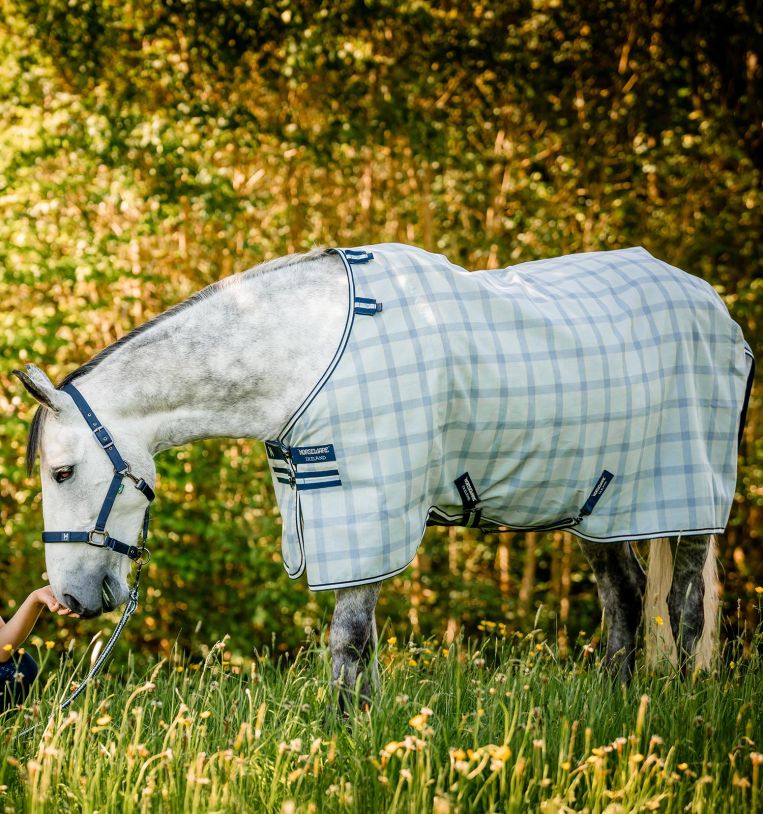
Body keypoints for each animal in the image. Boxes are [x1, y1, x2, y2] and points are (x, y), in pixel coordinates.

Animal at [15, 244, 753, 706]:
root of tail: (713, 305)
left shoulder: (364, 505)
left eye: (63, 471)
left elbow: (347, 639)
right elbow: (360, 644)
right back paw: (615, 709)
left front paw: (343, 736)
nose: (70, 597)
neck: (303, 349)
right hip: (599, 504)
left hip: (686, 500)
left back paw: (680, 708)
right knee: (623, 598)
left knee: (685, 607)